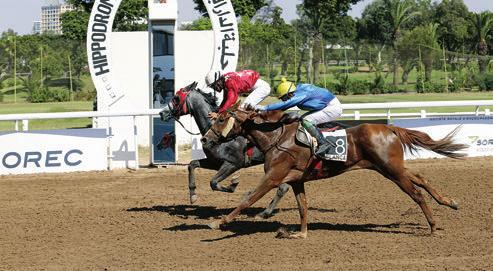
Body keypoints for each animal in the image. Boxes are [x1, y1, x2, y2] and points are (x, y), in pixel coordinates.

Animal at [158, 82, 288, 218]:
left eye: (176, 98)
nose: (161, 113)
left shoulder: (233, 163)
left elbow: (213, 182)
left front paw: (233, 185)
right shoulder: (215, 162)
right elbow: (192, 164)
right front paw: (193, 195)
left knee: (281, 186)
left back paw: (265, 211)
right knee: (283, 187)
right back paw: (266, 211)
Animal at [200, 107, 466, 239]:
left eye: (222, 119)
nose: (205, 138)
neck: (277, 137)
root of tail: (389, 128)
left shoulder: (273, 178)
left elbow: (247, 199)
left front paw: (218, 223)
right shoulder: (295, 181)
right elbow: (303, 207)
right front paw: (301, 234)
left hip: (392, 170)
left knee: (417, 194)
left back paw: (433, 226)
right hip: (389, 167)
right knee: (421, 178)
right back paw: (450, 202)